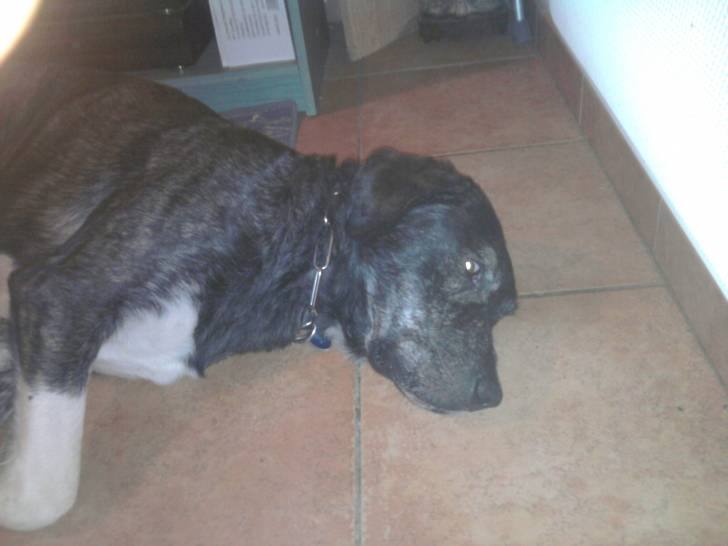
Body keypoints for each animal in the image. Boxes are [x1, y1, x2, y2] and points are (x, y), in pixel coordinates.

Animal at [0, 63, 516, 531]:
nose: (491, 396)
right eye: (471, 267)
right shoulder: (63, 293)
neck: (305, 247)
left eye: (504, 313)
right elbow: (48, 493)